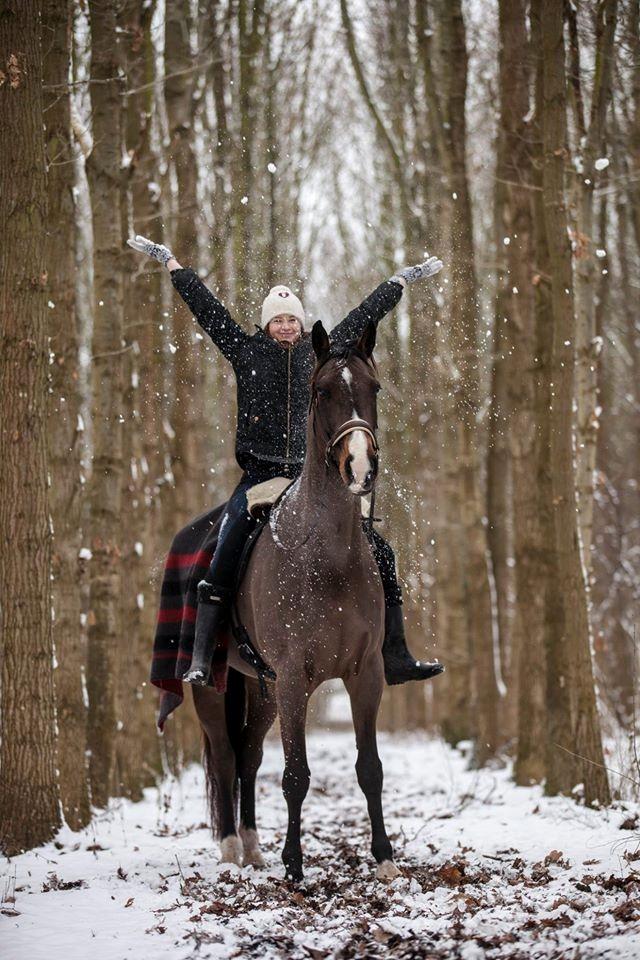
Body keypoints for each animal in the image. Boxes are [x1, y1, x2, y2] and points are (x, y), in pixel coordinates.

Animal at [191, 318, 400, 880]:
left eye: (374, 389)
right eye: (321, 391)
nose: (361, 468)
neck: (326, 555)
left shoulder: (365, 674)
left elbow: (370, 768)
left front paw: (384, 857)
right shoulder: (292, 678)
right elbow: (295, 775)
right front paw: (294, 866)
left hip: (260, 691)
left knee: (246, 755)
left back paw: (251, 843)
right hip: (217, 688)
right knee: (225, 754)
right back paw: (229, 847)